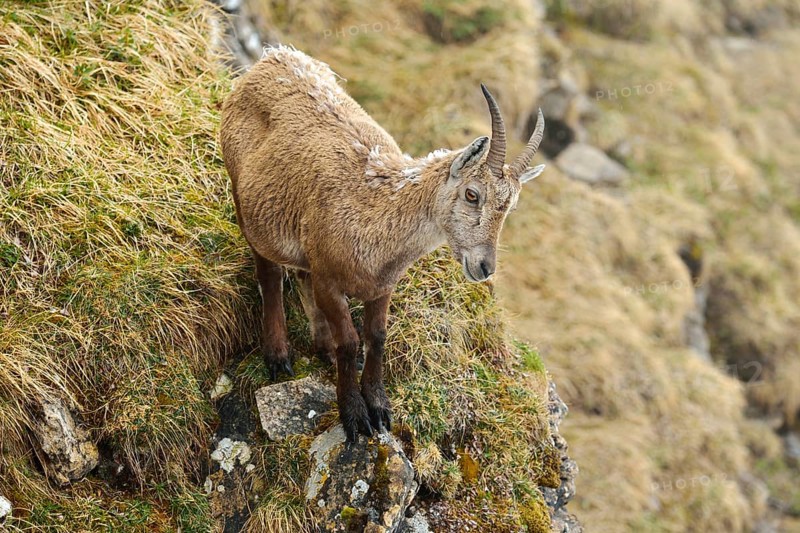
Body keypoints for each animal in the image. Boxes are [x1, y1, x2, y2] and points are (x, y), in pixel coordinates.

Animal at [220, 46, 545, 441]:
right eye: (472, 194)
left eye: (510, 206)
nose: (485, 267)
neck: (376, 215)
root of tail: (272, 56)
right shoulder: (330, 280)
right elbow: (350, 341)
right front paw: (354, 414)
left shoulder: (382, 286)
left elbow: (376, 336)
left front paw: (379, 406)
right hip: (246, 203)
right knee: (269, 275)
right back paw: (278, 355)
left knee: (299, 276)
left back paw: (321, 346)